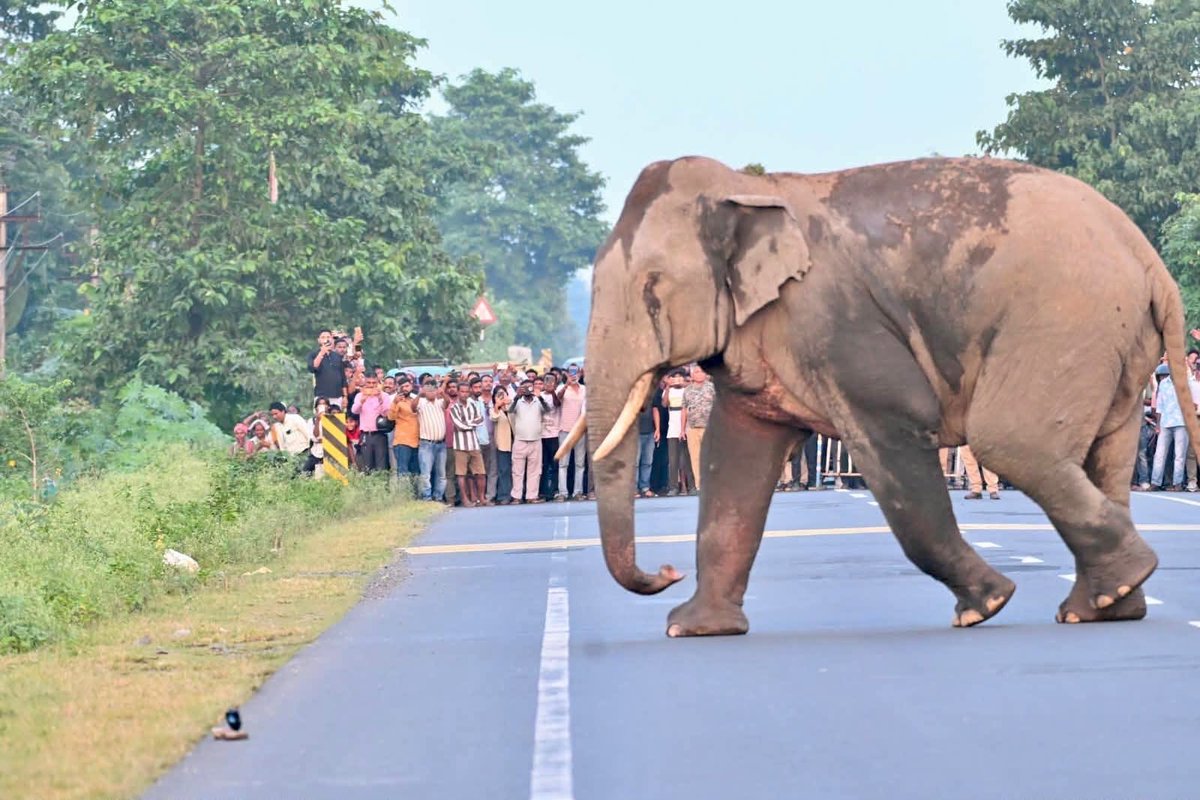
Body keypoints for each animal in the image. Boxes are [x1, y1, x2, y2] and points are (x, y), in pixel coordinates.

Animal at [570, 155, 1200, 638]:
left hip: (1063, 322)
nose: (666, 571)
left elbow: (894, 430)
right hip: (1114, 344)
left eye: (652, 288)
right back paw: (1105, 605)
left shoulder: (835, 324)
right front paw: (694, 628)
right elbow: (735, 455)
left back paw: (1119, 582)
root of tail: (1149, 260)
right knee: (1101, 455)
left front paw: (984, 606)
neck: (753, 185)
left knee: (1011, 444)